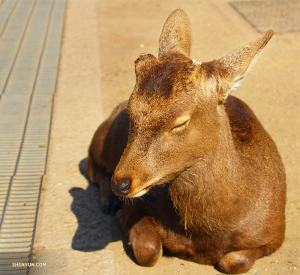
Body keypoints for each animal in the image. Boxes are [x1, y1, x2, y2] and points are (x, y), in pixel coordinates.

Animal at [86, 9, 286, 274]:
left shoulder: (275, 235)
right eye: (131, 111)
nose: (121, 184)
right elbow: (149, 251)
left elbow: (234, 261)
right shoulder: (136, 206)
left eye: (180, 122)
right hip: (105, 138)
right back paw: (108, 201)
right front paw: (119, 215)